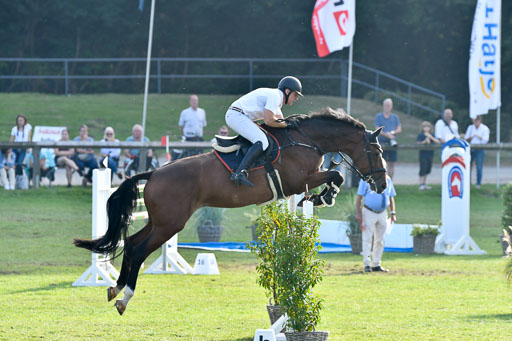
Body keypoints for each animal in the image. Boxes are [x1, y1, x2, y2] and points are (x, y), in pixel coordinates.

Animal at [71, 106, 384, 314]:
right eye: (377, 152)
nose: (381, 185)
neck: (307, 140)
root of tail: (155, 172)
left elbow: (334, 176)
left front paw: (323, 197)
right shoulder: (299, 180)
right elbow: (336, 175)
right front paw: (324, 196)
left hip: (160, 221)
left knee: (131, 242)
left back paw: (115, 288)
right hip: (169, 224)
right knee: (138, 250)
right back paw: (123, 297)